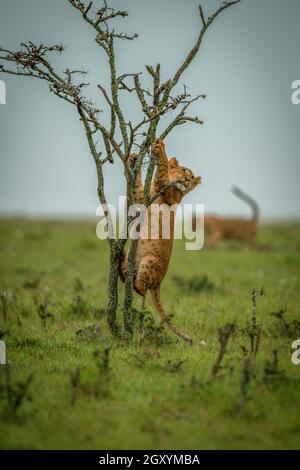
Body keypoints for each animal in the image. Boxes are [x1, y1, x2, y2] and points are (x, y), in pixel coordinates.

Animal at [118, 138, 200, 344]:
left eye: (191, 176)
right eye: (184, 170)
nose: (187, 180)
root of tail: (159, 284)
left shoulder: (171, 197)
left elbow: (161, 172)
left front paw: (160, 148)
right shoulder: (143, 199)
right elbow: (138, 186)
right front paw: (133, 159)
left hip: (149, 260)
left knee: (142, 289)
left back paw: (134, 282)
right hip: (133, 261)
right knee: (124, 277)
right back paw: (120, 259)